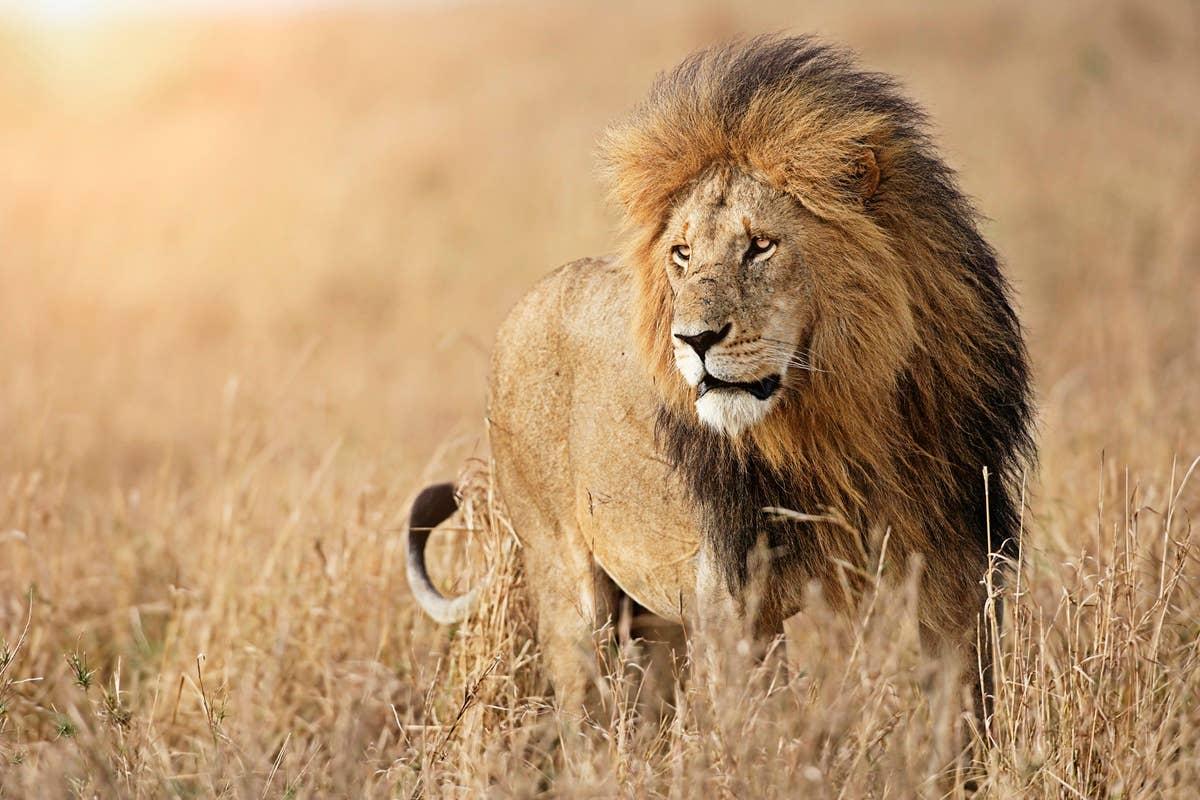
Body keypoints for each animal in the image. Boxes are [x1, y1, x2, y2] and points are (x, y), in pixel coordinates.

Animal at [406, 35, 1034, 715]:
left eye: (761, 246)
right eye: (682, 254)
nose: (694, 340)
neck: (842, 425)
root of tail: (524, 305)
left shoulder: (956, 570)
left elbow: (962, 717)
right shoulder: (731, 601)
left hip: (657, 619)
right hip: (568, 585)